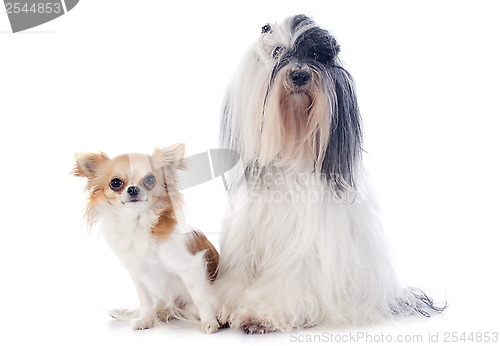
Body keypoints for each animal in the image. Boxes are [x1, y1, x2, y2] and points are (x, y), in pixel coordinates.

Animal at [73, 143, 219, 332]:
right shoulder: (138, 275)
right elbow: (145, 300)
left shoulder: (190, 267)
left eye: (150, 179)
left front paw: (210, 322)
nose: (133, 188)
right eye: (115, 183)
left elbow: (200, 297)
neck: (137, 226)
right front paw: (146, 320)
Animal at [217, 14, 444, 334]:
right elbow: (238, 276)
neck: (292, 153)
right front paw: (221, 305)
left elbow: (287, 283)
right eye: (277, 52)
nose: (299, 75)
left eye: (315, 55)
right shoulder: (246, 242)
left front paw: (258, 315)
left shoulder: (305, 253)